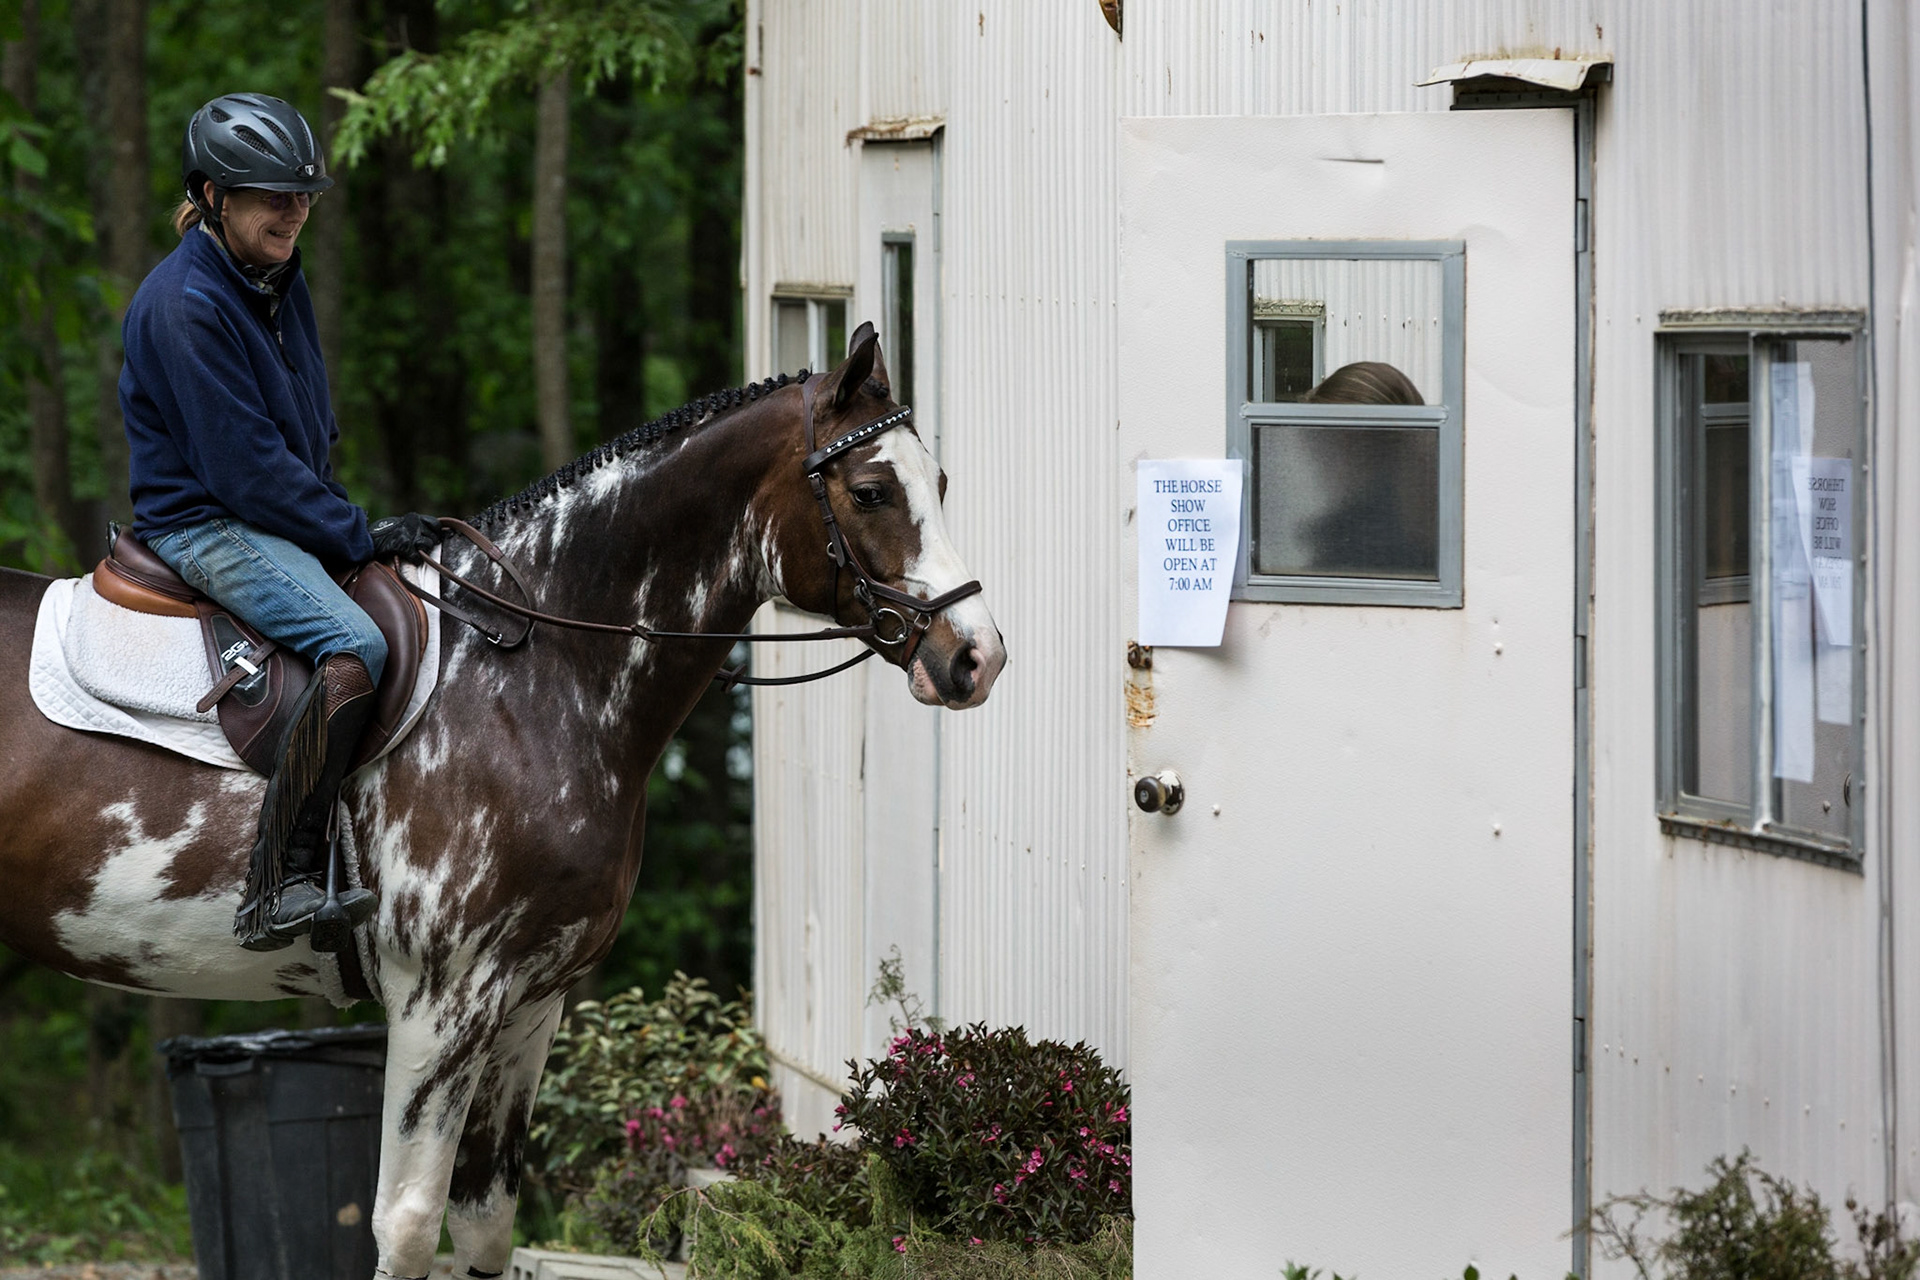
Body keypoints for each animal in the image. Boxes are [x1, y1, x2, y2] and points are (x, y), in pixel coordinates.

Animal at [0, 325, 1004, 1279]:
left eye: (943, 480)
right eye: (871, 492)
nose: (976, 657)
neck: (533, 676)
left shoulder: (529, 1004)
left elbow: (486, 1224)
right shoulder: (439, 1004)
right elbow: (408, 1227)